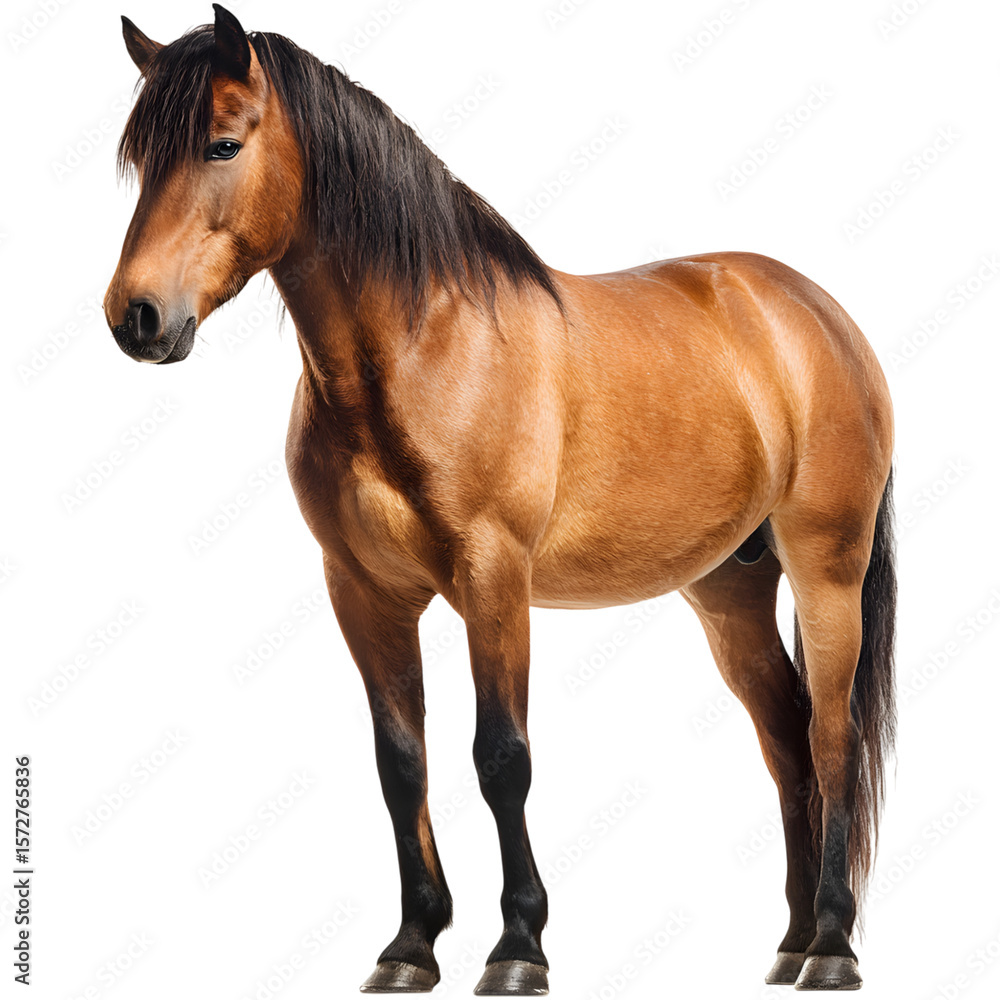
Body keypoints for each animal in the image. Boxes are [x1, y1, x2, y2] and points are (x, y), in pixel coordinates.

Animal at [105, 6, 896, 994]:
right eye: (139, 157)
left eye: (222, 143)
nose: (136, 317)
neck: (425, 347)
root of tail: (813, 311)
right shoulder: (362, 592)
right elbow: (401, 763)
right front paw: (410, 945)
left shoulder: (494, 580)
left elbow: (500, 758)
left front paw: (518, 946)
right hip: (730, 592)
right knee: (786, 741)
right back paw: (789, 940)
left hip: (828, 570)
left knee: (830, 738)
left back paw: (831, 944)